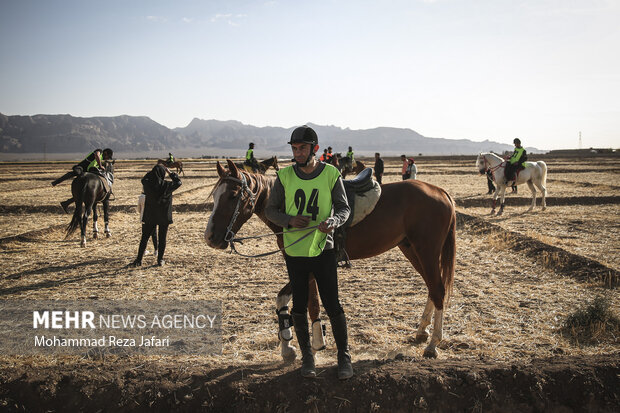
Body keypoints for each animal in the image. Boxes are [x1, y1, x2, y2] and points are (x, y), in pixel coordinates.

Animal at [203, 159, 456, 358]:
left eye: (232, 196)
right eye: (215, 196)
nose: (210, 237)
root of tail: (441, 192)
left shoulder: (311, 265)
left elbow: (312, 304)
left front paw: (315, 344)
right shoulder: (300, 265)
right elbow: (286, 300)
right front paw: (288, 347)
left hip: (426, 249)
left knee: (438, 289)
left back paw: (433, 344)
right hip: (411, 249)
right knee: (431, 288)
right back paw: (422, 332)